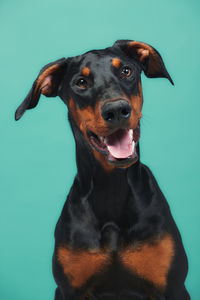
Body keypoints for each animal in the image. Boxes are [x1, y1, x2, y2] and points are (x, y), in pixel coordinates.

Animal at [14, 40, 190, 300]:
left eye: (126, 71)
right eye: (81, 82)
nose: (116, 110)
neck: (111, 187)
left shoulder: (173, 287)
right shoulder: (68, 290)